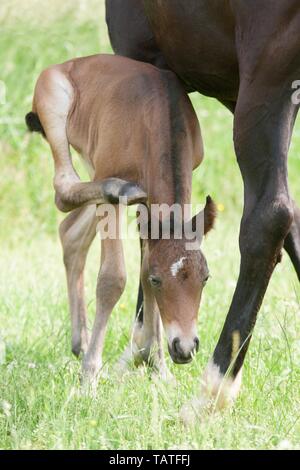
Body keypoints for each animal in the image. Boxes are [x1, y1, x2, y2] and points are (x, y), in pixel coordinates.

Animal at [106, 0, 300, 412]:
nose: (183, 348)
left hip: (269, 78)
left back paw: (211, 394)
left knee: (268, 217)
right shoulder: (230, 87)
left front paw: (145, 350)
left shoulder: (146, 59)